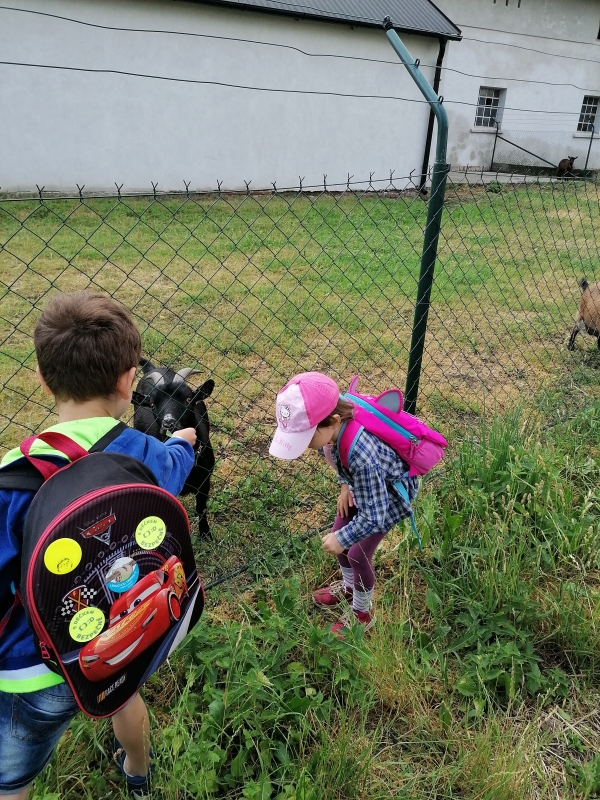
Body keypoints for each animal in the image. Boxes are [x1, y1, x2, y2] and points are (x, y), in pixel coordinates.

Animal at [132, 359, 215, 538]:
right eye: (152, 405)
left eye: (188, 399)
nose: (169, 423)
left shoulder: (205, 481)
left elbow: (201, 508)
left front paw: (205, 533)